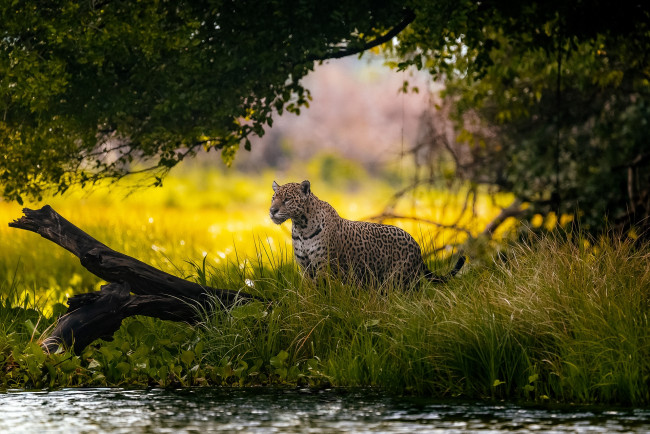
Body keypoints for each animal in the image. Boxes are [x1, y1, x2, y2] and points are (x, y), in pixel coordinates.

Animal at [266, 180, 464, 288]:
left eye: (287, 199)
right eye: (273, 198)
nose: (272, 210)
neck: (301, 227)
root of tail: (417, 247)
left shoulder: (324, 265)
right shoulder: (305, 267)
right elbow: (308, 291)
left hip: (400, 279)